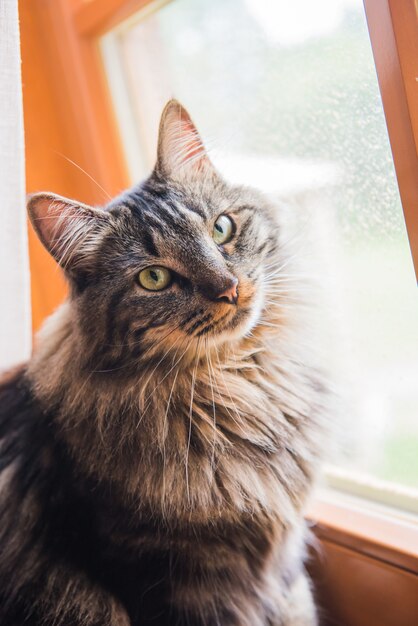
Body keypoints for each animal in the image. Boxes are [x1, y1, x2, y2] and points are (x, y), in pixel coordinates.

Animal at [0, 100, 326, 620]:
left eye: (221, 228)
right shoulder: (176, 583)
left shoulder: (284, 565)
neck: (239, 385)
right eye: (154, 278)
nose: (229, 289)